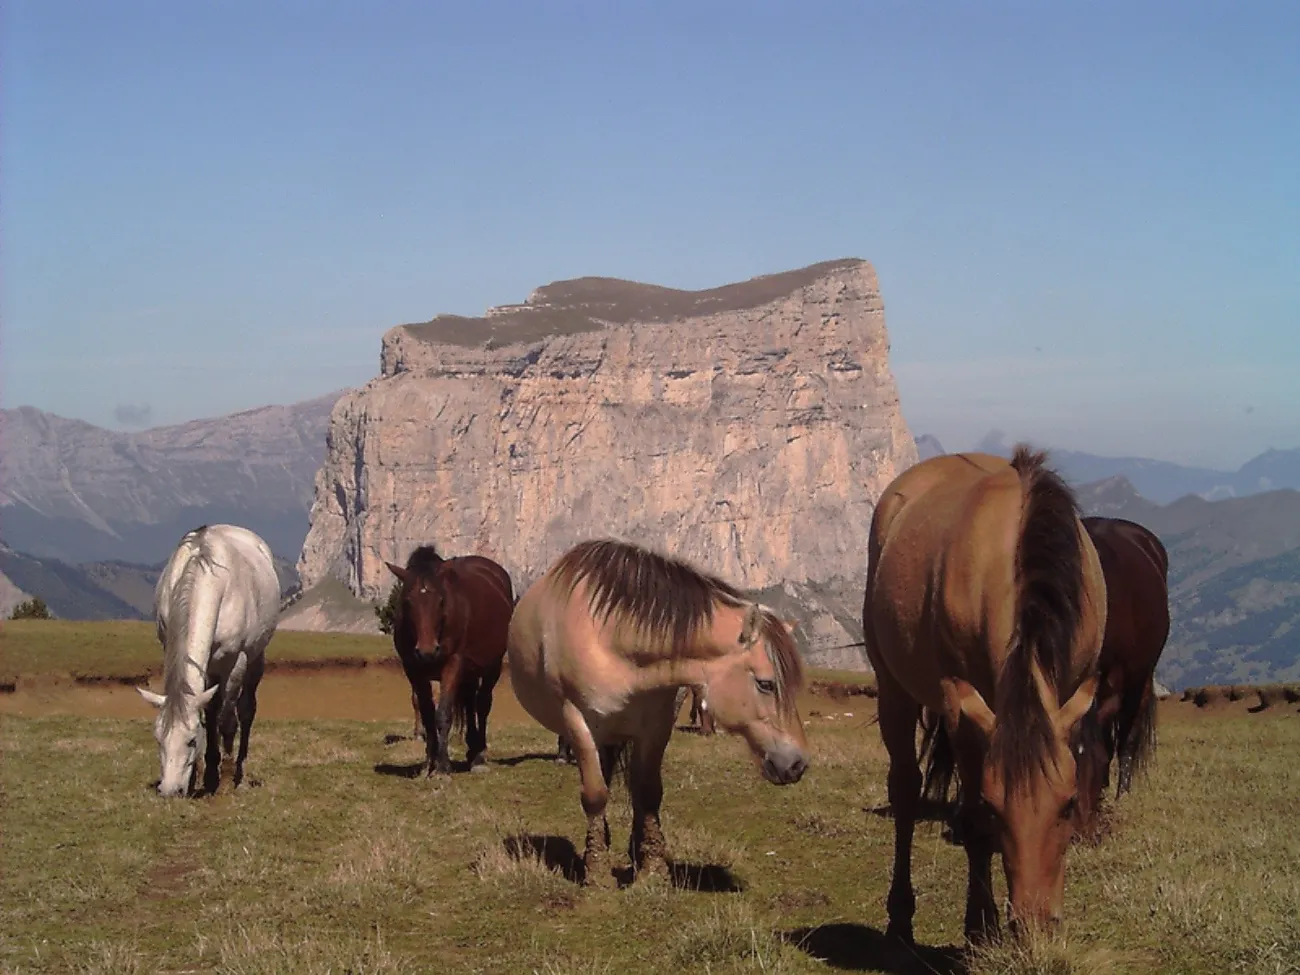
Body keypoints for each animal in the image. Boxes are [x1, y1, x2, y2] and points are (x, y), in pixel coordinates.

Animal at [136, 524, 281, 797]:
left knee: (245, 710)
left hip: (255, 659)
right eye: (158, 739)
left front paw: (225, 779)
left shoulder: (236, 662)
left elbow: (227, 721)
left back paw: (238, 768)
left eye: (192, 740)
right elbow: (208, 716)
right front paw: (202, 775)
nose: (170, 791)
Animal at [385, 545, 514, 775]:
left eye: (441, 601)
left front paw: (443, 767)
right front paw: (429, 762)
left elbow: (443, 713)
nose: (427, 651)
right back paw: (472, 750)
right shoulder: (413, 669)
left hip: (493, 665)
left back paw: (479, 756)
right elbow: (427, 713)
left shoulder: (453, 664)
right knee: (470, 703)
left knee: (482, 704)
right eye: (407, 601)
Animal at [508, 538, 809, 887]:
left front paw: (652, 869)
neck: (614, 638)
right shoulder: (577, 721)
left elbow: (649, 792)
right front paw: (597, 873)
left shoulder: (657, 725)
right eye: (765, 684)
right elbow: (595, 794)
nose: (797, 764)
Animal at [862, 447, 1107, 942]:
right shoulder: (964, 710)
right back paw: (900, 919)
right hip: (894, 687)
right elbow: (971, 819)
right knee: (905, 787)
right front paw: (979, 925)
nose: (1033, 924)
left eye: (1069, 804)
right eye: (998, 811)